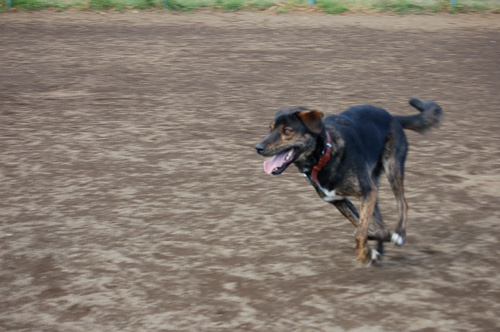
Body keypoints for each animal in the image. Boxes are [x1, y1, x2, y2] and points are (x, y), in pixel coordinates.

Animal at [256, 98, 444, 264]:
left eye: (287, 130)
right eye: (270, 129)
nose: (258, 148)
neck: (324, 156)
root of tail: (393, 117)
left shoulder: (366, 192)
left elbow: (360, 232)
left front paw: (365, 255)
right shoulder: (339, 200)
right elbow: (365, 229)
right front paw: (375, 247)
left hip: (392, 168)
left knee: (402, 203)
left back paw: (399, 234)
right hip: (374, 186)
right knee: (379, 221)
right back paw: (381, 248)